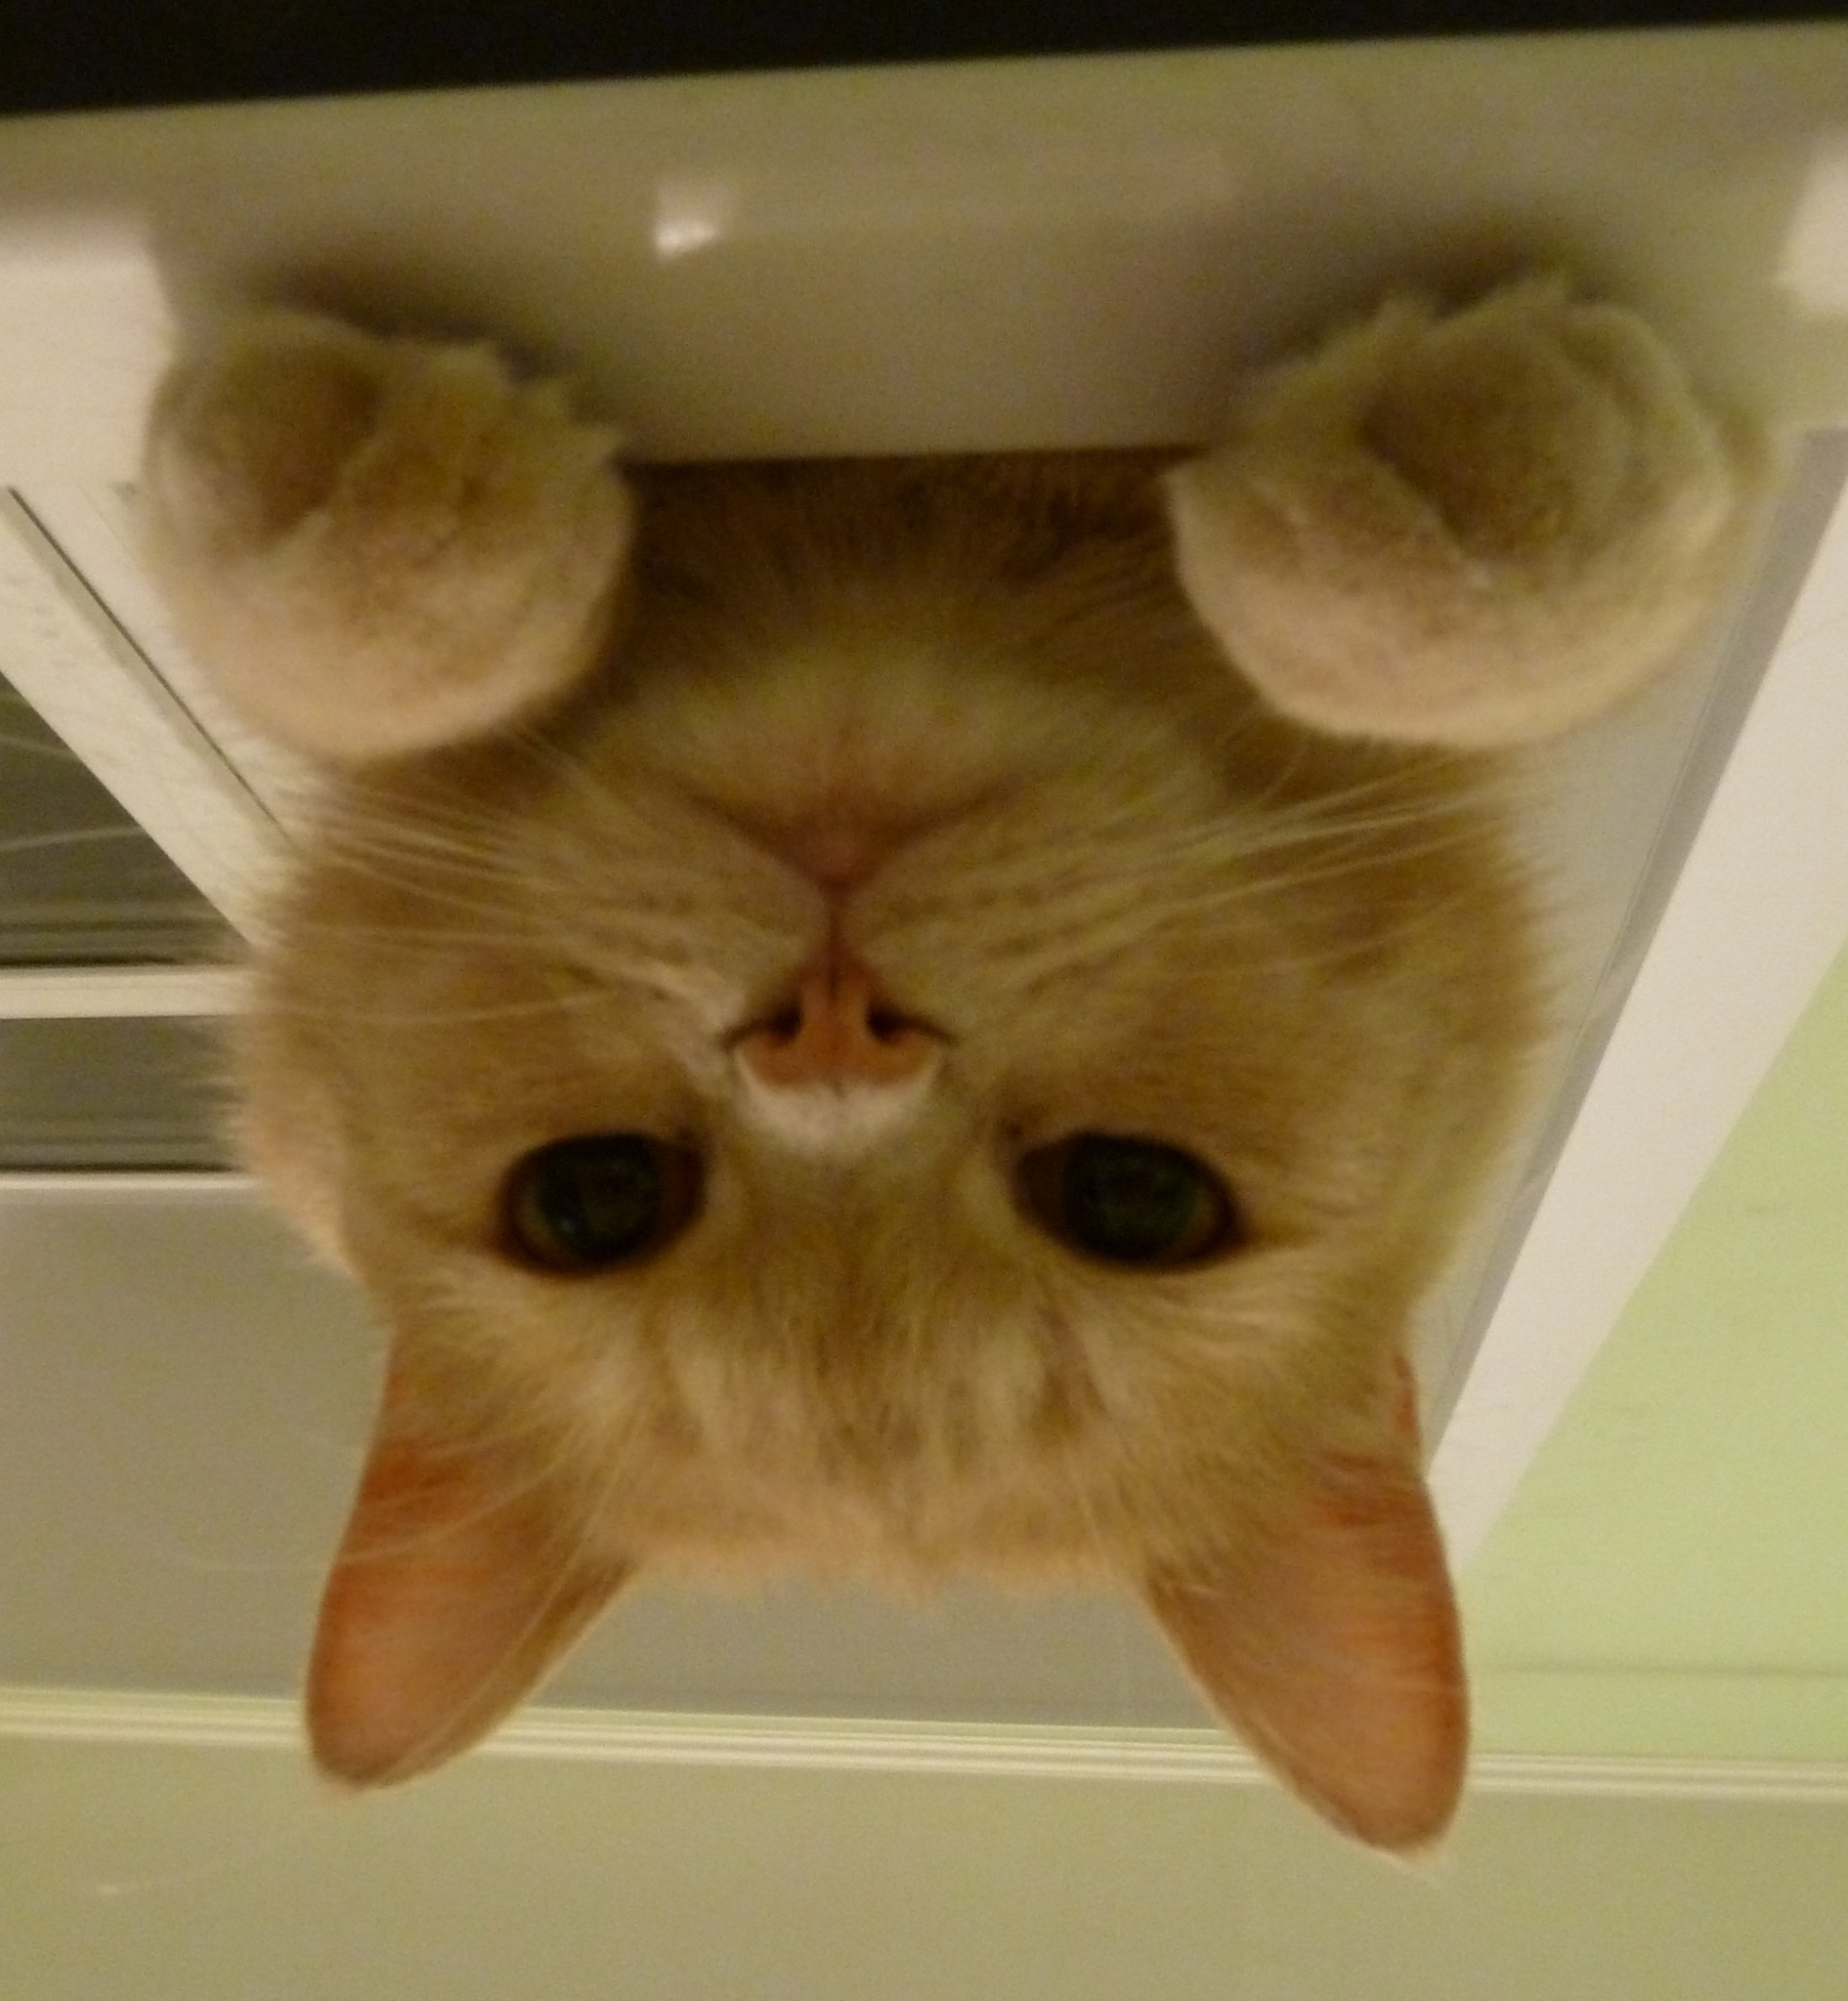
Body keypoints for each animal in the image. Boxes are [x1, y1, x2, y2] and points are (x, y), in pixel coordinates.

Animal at [138, 276, 1752, 1849]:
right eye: (592, 1201)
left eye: (1131, 1198)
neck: (907, 549)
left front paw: (1473, 482)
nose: (831, 1027)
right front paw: (357, 496)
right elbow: (355, 650)